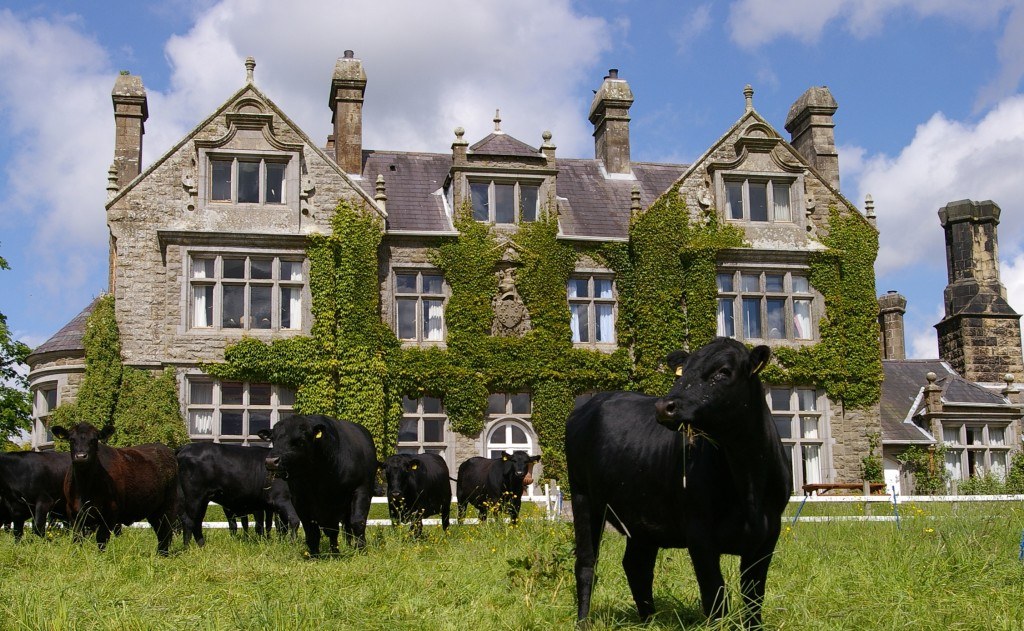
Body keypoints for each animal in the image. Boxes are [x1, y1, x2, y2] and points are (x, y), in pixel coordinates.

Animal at [49, 424, 178, 553]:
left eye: (94, 439)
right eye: (71, 439)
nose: (81, 456)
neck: (85, 489)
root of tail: (164, 448)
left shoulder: (110, 512)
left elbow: (101, 539)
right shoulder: (73, 513)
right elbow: (77, 539)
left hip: (168, 505)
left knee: (165, 533)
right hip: (153, 509)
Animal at [258, 413, 378, 557]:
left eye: (300, 440)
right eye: (273, 439)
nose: (271, 461)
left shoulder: (361, 490)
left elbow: (357, 521)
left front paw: (361, 550)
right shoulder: (300, 500)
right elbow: (311, 529)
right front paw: (314, 554)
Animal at [569, 340, 790, 631]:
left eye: (723, 371)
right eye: (682, 371)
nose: (664, 406)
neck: (748, 482)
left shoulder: (768, 534)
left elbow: (754, 595)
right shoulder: (699, 533)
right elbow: (714, 593)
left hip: (642, 516)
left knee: (637, 565)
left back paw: (649, 621)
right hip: (582, 497)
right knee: (586, 564)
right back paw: (584, 621)